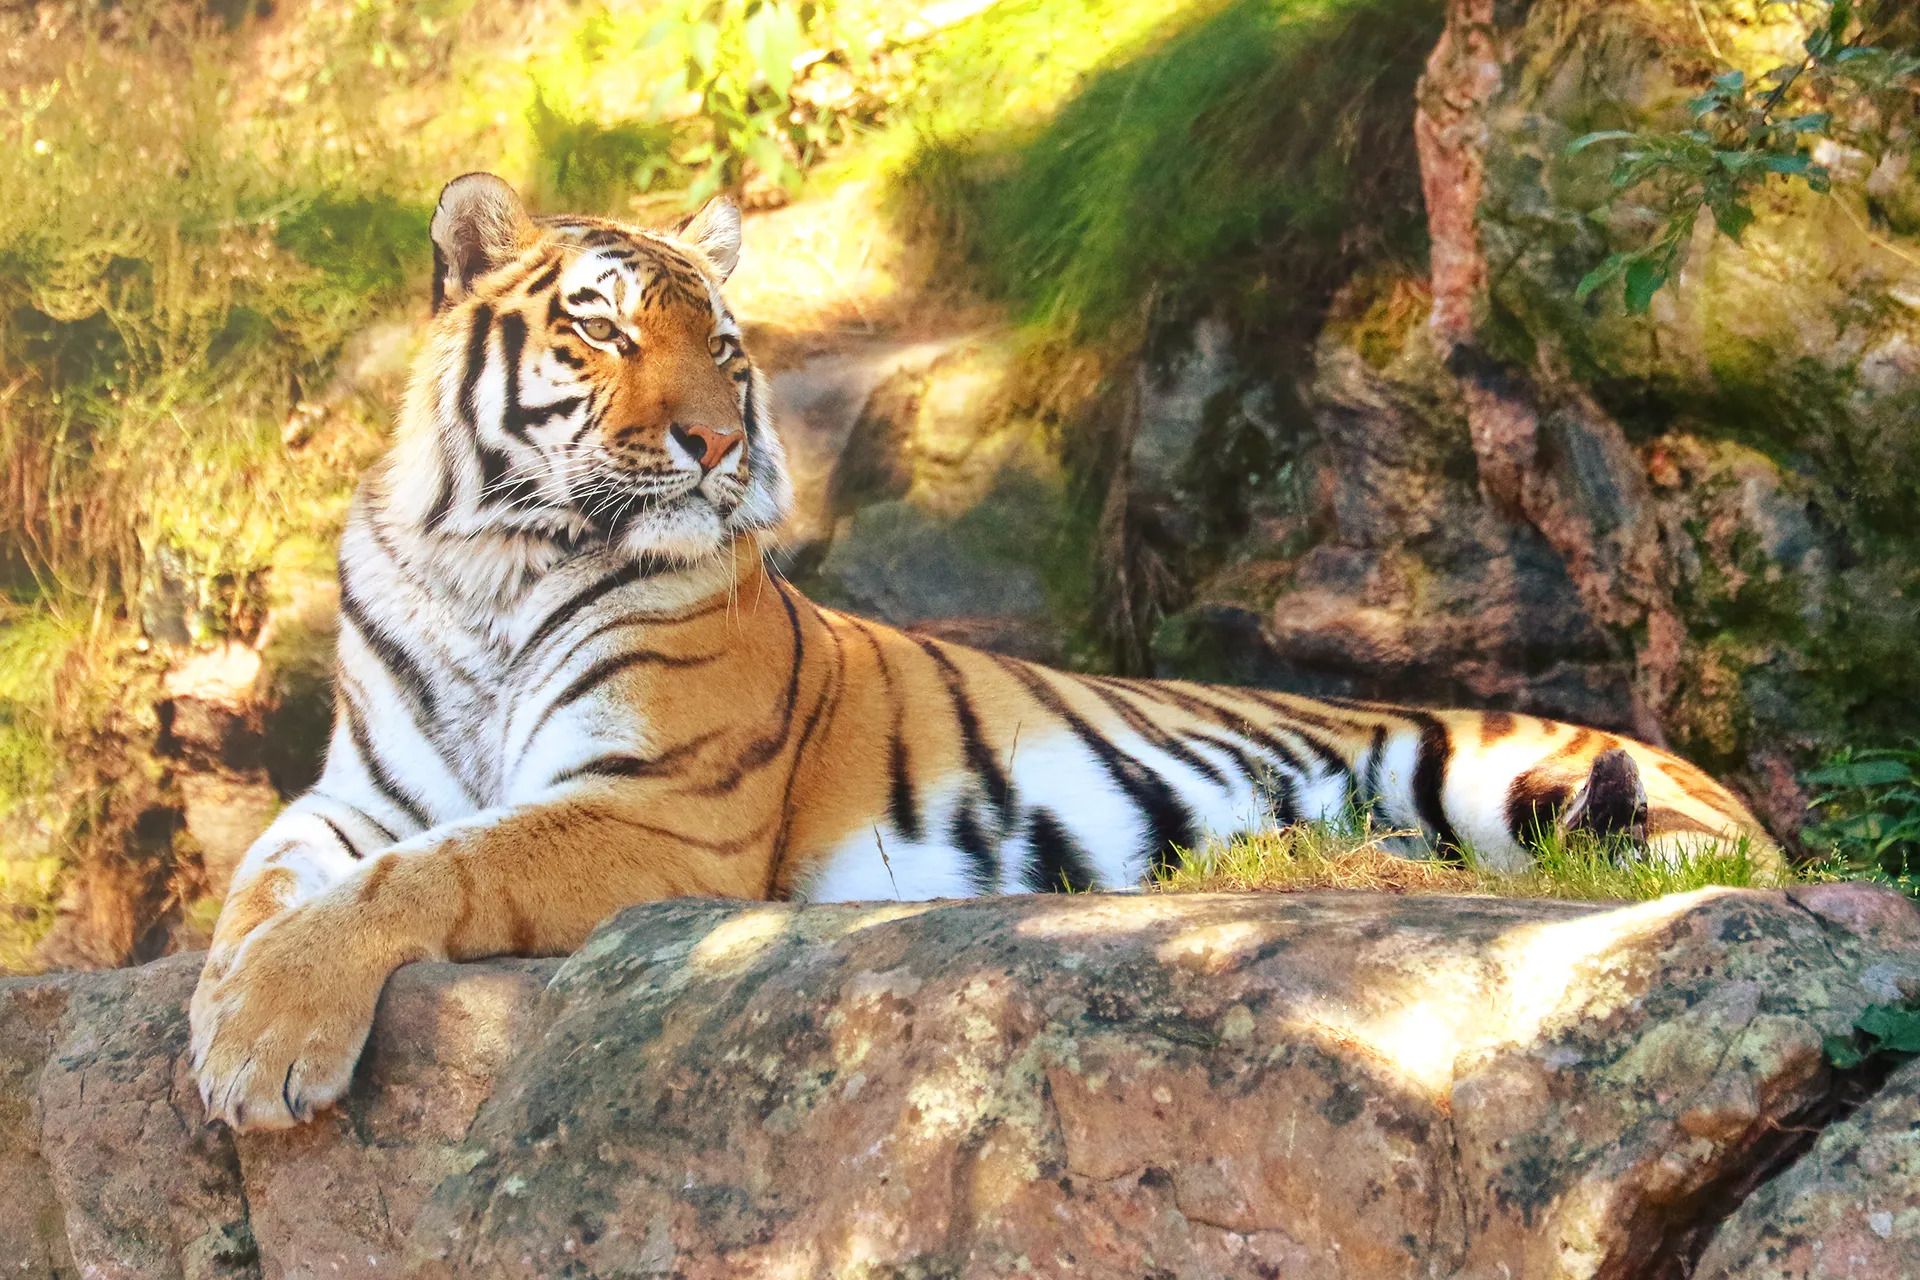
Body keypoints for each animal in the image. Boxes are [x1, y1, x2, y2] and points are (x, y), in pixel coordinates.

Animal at [189, 172, 1779, 1131]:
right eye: (604, 332)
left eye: (724, 348)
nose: (713, 443)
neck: (493, 562)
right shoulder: (359, 791)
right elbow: (263, 876)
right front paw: (222, 1002)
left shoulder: (662, 809)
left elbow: (433, 871)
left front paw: (265, 1032)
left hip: (1537, 787)